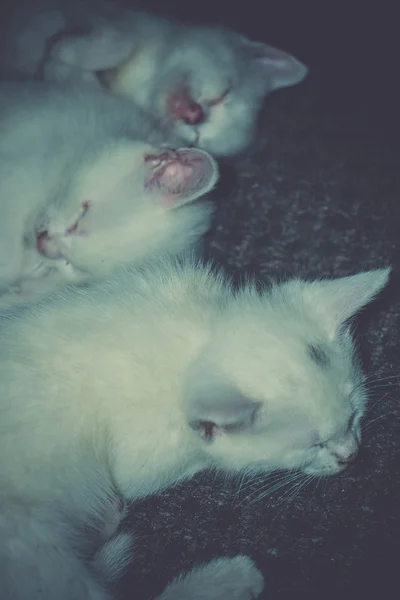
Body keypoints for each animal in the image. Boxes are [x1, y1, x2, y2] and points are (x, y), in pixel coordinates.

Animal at [0, 0, 310, 157]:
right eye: (225, 93)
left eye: (196, 142)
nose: (194, 114)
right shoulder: (111, 14)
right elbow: (118, 40)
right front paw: (67, 50)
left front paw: (61, 63)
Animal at [0, 258, 390, 600]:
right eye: (312, 445)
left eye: (354, 416)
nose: (351, 456)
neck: (194, 340)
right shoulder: (137, 458)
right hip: (32, 538)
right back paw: (227, 578)